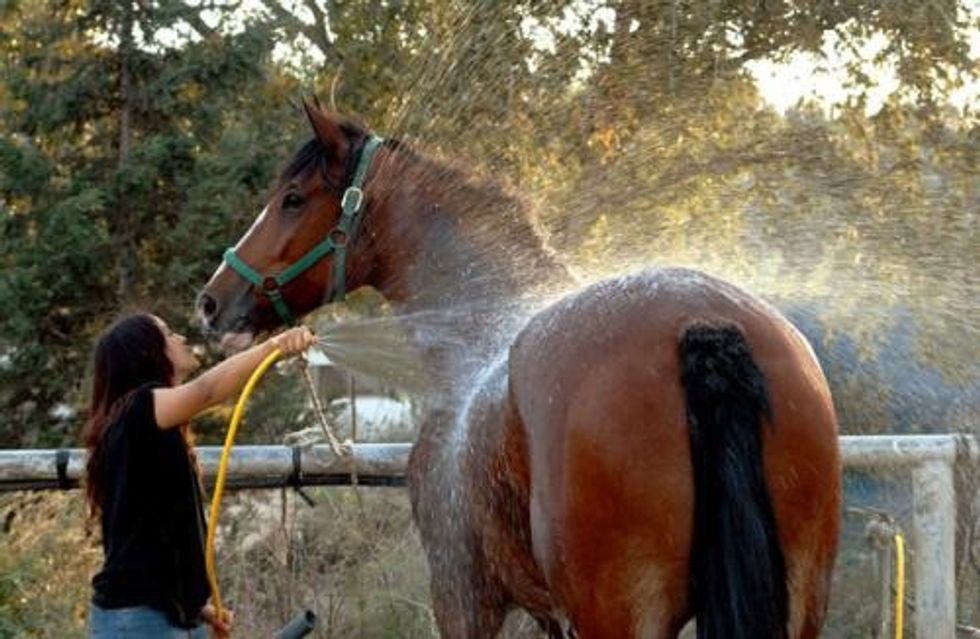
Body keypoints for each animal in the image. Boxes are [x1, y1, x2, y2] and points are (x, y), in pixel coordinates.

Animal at [197, 102, 844, 636]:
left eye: (293, 198)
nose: (211, 301)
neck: (476, 341)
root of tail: (701, 324)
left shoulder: (463, 596)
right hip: (798, 604)